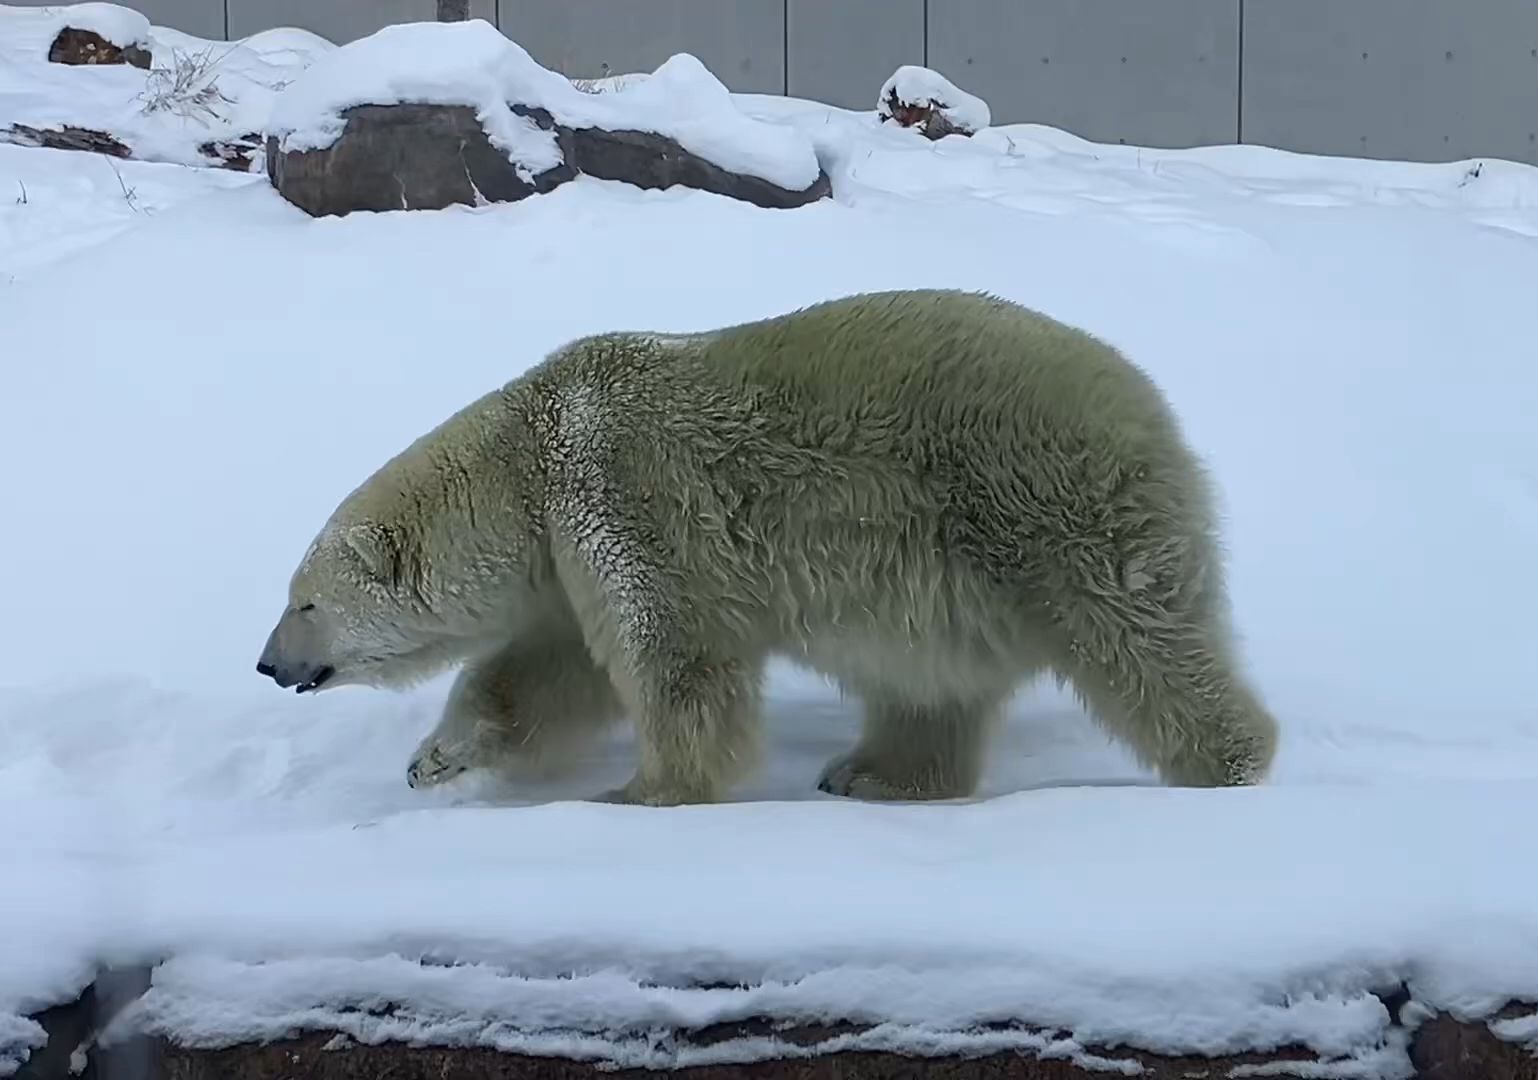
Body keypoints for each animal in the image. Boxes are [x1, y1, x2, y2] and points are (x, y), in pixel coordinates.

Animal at [258, 287, 1279, 806]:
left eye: (304, 601)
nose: (268, 665)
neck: (531, 450)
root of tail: (1154, 409)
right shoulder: (565, 559)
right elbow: (550, 671)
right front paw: (437, 758)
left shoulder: (620, 493)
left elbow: (674, 660)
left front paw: (638, 796)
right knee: (929, 687)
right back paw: (874, 774)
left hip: (1052, 507)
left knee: (1139, 642)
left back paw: (1231, 764)